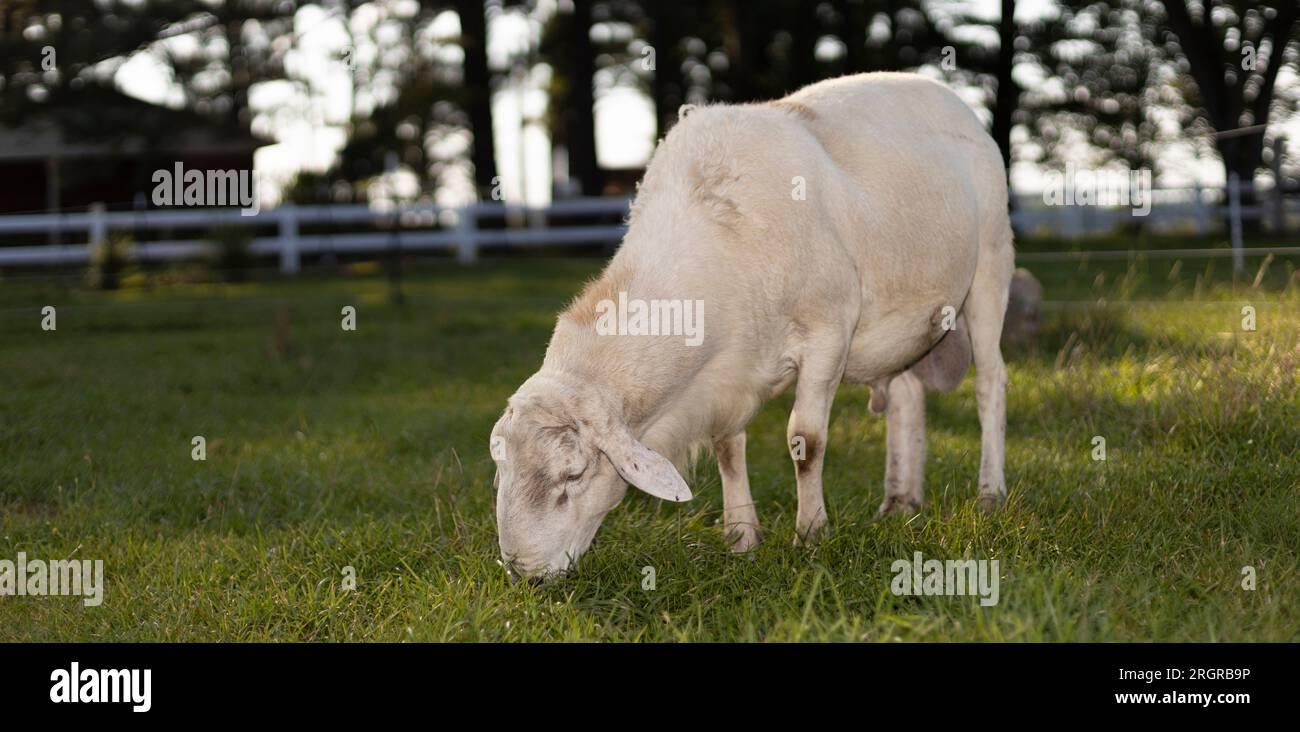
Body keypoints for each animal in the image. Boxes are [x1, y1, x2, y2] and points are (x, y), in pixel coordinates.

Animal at [488, 71, 1013, 582]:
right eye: (501, 470)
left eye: (574, 475)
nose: (525, 576)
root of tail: (940, 89)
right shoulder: (725, 375)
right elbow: (727, 447)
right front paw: (741, 538)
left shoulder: (828, 332)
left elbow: (806, 442)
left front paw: (811, 535)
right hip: (903, 325)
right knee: (907, 396)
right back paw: (900, 501)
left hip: (989, 266)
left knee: (990, 382)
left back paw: (990, 494)